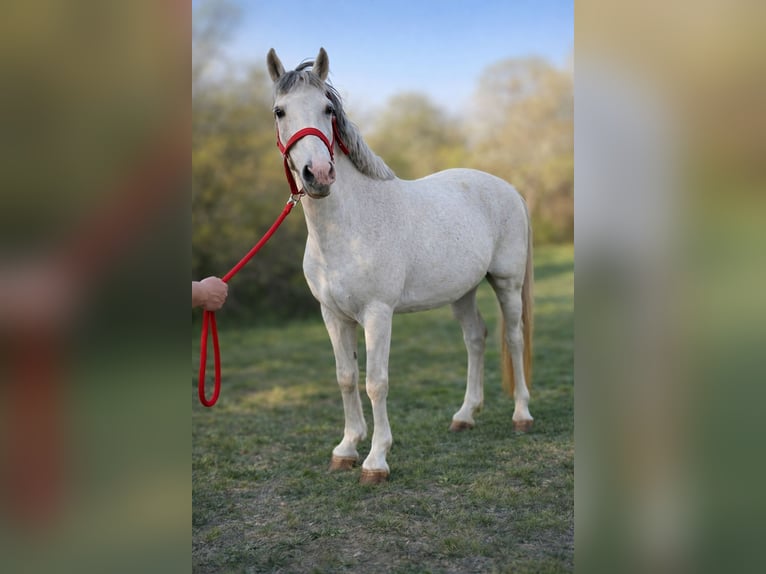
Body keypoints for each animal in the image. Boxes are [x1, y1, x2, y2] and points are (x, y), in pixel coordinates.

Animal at [267, 48, 534, 484]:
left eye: (327, 109)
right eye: (279, 111)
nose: (318, 175)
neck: (348, 226)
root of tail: (508, 188)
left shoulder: (378, 313)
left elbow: (376, 382)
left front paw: (376, 460)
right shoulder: (332, 315)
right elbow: (346, 377)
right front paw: (346, 449)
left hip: (507, 283)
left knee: (513, 338)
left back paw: (522, 415)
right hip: (462, 291)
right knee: (475, 337)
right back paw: (464, 416)